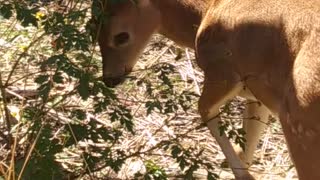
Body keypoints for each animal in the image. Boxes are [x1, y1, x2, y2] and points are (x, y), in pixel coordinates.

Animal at [92, 0, 320, 179]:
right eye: (95, 29)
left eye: (121, 36)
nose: (109, 78)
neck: (205, 11)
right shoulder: (257, 95)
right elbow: (247, 142)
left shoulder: (222, 70)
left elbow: (203, 109)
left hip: (299, 120)